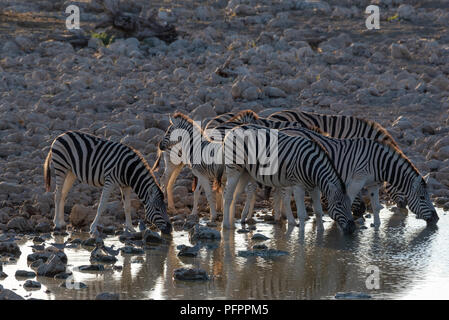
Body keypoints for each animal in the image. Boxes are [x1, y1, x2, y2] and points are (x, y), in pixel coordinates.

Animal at [44, 130, 172, 235]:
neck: (129, 170)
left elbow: (127, 206)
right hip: (61, 167)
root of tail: (60, 136)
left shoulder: (125, 186)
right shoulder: (110, 181)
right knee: (58, 194)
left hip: (71, 172)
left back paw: (61, 222)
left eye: (165, 208)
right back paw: (57, 223)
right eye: (157, 209)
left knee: (63, 194)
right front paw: (93, 228)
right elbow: (102, 205)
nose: (170, 229)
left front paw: (130, 228)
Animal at [219, 122, 356, 232]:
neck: (312, 167)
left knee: (235, 195)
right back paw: (225, 225)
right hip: (234, 168)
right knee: (227, 195)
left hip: (245, 172)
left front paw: (320, 235)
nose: (352, 229)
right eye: (339, 204)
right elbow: (301, 214)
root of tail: (233, 129)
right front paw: (301, 239)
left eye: (350, 204)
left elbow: (318, 211)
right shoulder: (298, 186)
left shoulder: (315, 187)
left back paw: (232, 223)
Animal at [248, 127, 438, 228]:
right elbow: (349, 200)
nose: (436, 219)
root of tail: (284, 129)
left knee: (278, 195)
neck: (379, 162)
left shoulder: (373, 185)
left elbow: (376, 207)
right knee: (284, 197)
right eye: (422, 198)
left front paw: (376, 227)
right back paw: (290, 221)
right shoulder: (357, 180)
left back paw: (281, 219)